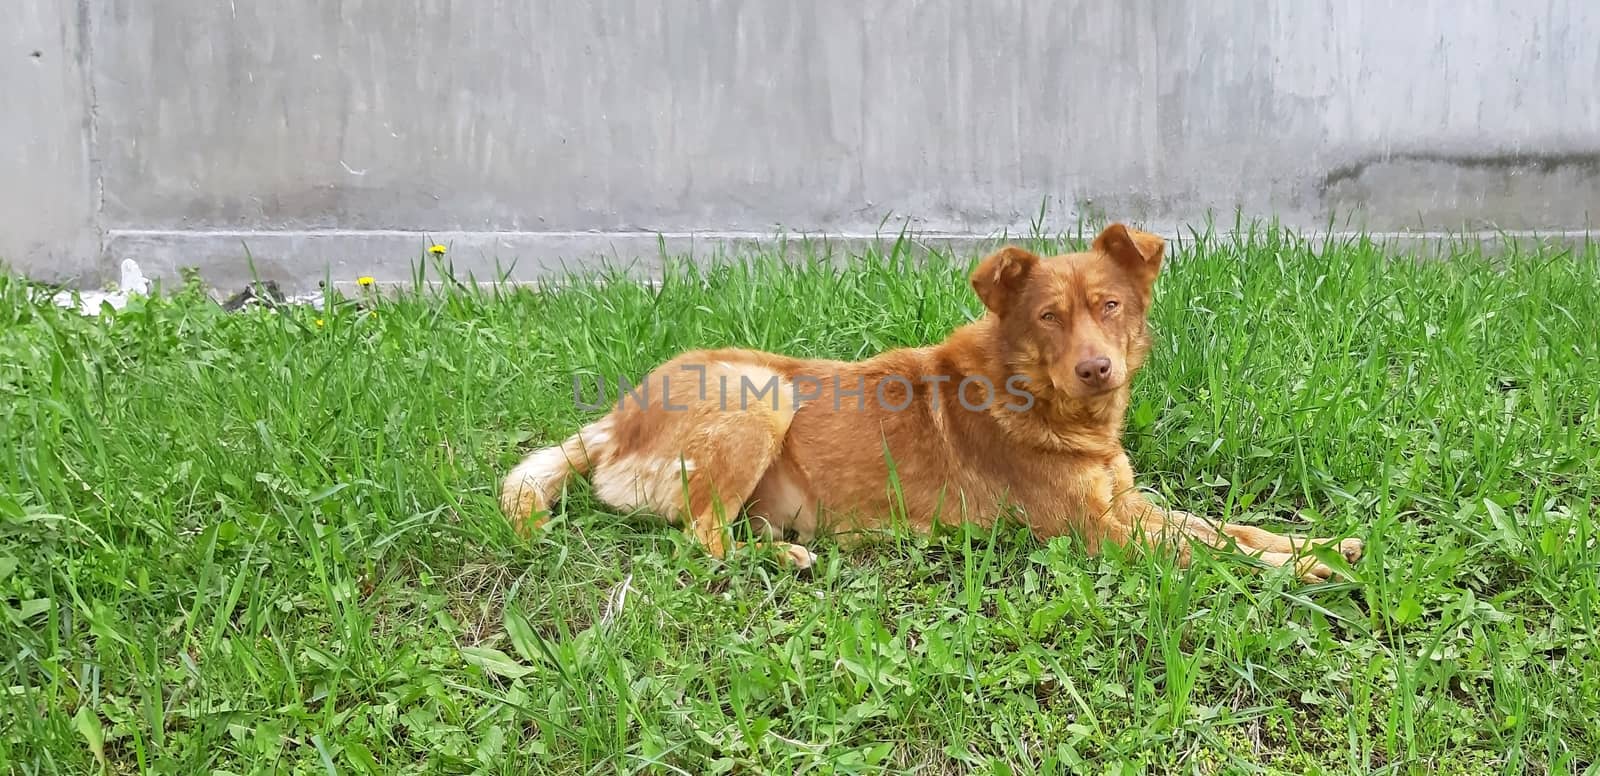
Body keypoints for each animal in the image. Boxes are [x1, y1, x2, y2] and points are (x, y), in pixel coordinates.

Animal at [499, 224, 1363, 582]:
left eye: (1110, 305)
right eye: (1048, 316)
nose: (1097, 370)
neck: (1042, 403)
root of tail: (615, 417)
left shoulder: (1130, 507)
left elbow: (1228, 527)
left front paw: (1325, 544)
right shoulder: (1100, 534)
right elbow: (1211, 549)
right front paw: (1306, 571)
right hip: (760, 391)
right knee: (701, 539)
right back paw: (781, 557)